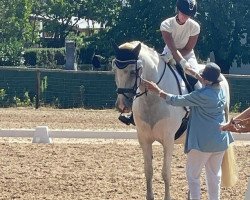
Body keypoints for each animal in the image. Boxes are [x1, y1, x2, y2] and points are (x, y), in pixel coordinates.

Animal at [112, 41, 229, 200]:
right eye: (115, 71)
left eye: (132, 71)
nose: (122, 106)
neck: (152, 99)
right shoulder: (144, 139)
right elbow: (148, 171)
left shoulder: (168, 140)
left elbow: (166, 173)